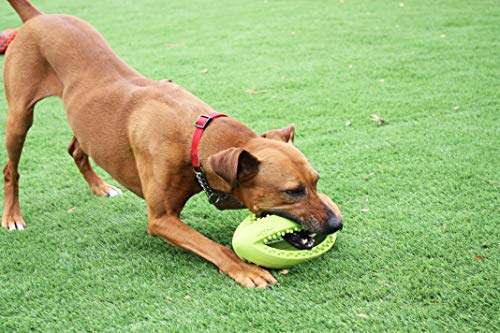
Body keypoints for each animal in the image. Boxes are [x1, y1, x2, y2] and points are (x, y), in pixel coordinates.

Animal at [0, 0, 344, 286]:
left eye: (315, 182)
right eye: (292, 192)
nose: (336, 222)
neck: (194, 135)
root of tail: (38, 17)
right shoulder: (161, 219)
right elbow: (212, 246)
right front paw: (244, 268)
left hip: (85, 120)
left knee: (76, 148)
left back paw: (100, 187)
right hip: (19, 117)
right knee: (11, 169)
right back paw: (13, 216)